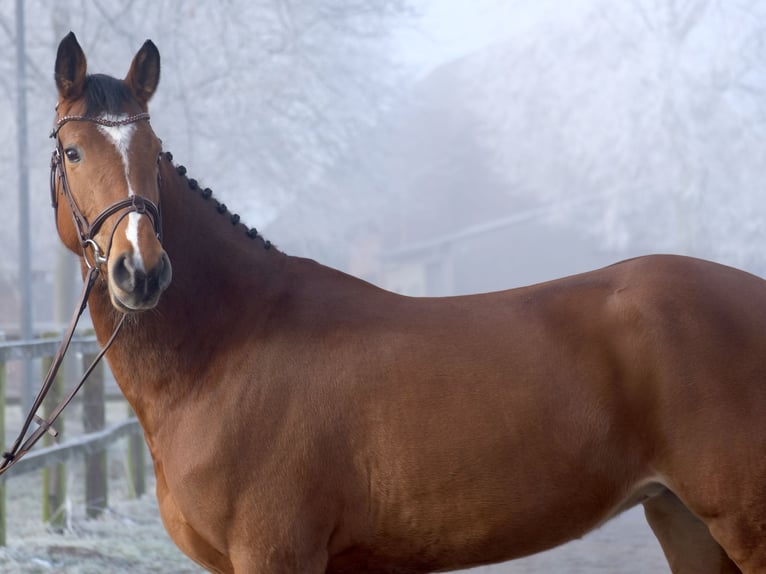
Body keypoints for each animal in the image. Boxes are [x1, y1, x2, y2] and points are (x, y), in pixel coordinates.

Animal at [51, 32, 764, 574]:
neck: (223, 351)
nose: (140, 271)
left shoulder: (276, 555)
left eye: (153, 154)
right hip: (681, 517)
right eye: (72, 150)